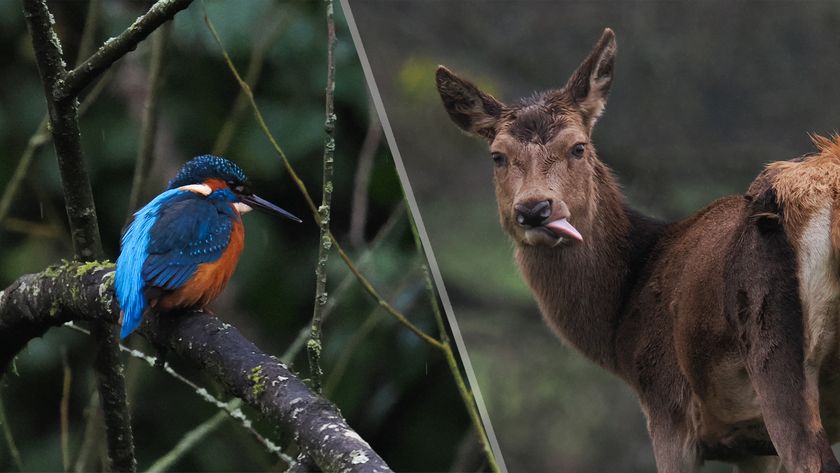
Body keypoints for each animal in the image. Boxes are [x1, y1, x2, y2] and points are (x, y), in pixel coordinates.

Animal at [436, 28, 840, 473]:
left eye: (578, 147)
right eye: (498, 156)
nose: (535, 209)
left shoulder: (668, 406)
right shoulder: (752, 444)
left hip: (771, 342)